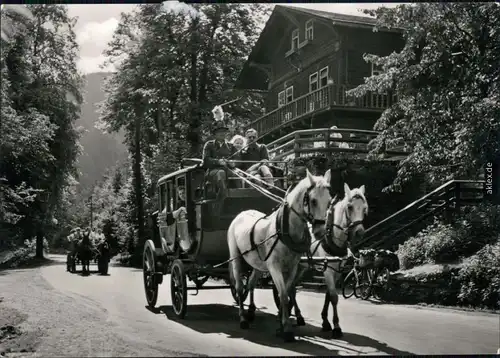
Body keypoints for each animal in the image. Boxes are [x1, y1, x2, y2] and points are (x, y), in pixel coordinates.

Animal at [228, 168, 332, 342]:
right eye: (313, 201)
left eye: (329, 201)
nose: (320, 232)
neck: (286, 230)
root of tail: (241, 213)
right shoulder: (274, 267)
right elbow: (283, 295)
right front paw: (287, 329)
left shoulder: (292, 267)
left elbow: (288, 292)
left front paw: (282, 323)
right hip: (236, 258)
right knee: (239, 286)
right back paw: (243, 318)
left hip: (258, 264)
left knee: (251, 284)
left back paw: (251, 311)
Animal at [290, 185, 368, 338]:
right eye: (349, 207)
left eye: (364, 208)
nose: (359, 233)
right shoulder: (328, 271)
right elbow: (334, 297)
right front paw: (336, 327)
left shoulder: (337, 271)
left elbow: (328, 296)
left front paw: (326, 322)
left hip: (301, 267)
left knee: (292, 288)